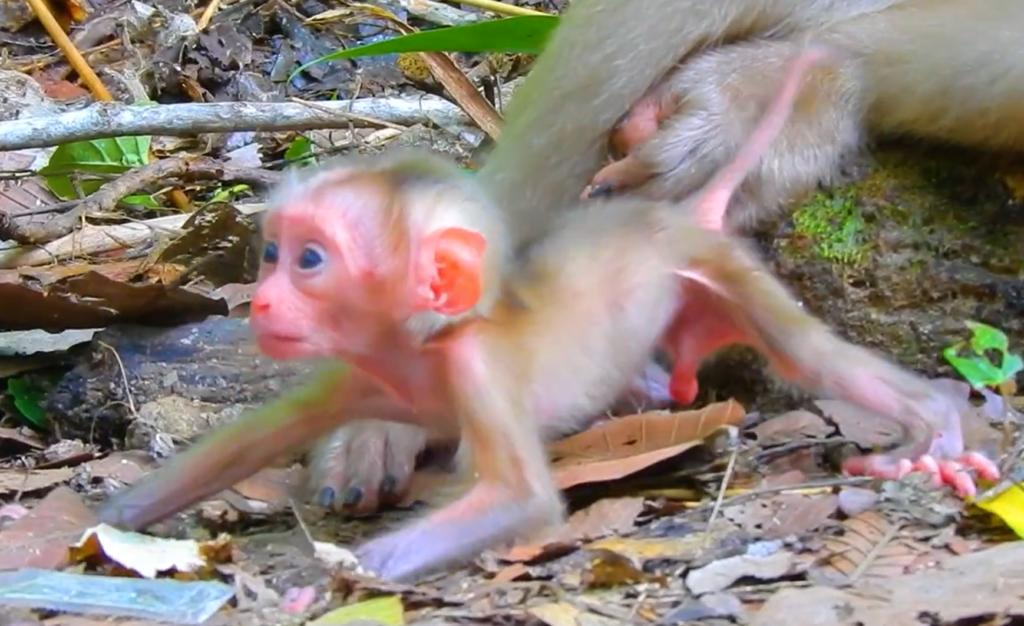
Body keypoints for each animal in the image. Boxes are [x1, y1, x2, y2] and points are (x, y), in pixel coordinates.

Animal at [96, 48, 998, 583]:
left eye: (311, 261)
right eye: (273, 254)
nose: (265, 301)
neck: (417, 354)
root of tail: (679, 215)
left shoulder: (478, 372)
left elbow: (523, 502)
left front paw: (344, 579)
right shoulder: (357, 373)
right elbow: (243, 445)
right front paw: (109, 528)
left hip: (725, 270)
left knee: (812, 358)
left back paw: (933, 420)